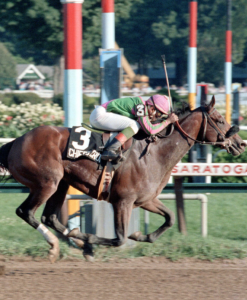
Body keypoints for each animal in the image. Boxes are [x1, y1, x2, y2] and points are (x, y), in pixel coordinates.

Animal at [0, 96, 245, 262]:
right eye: (219, 120)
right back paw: (56, 245)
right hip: (46, 183)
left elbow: (170, 218)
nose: (240, 143)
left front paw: (140, 235)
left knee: (49, 217)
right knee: (25, 212)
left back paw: (76, 238)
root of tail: (16, 141)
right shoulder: (123, 201)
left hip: (61, 183)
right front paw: (92, 242)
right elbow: (120, 238)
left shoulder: (146, 199)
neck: (156, 153)